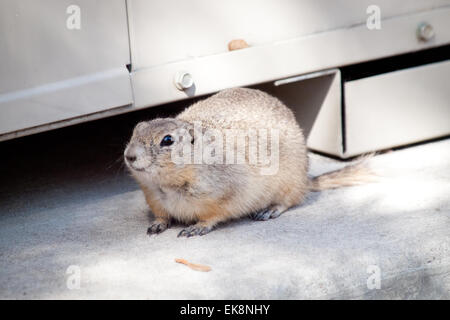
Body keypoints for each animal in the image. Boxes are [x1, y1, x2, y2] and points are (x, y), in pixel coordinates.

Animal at [124, 87, 372, 238]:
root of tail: (305, 180)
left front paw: (196, 228)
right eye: (136, 129)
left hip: (289, 183)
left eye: (167, 140)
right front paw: (157, 225)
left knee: (291, 200)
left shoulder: (226, 192)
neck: (165, 185)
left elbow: (214, 215)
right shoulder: (153, 197)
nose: (129, 156)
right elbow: (161, 214)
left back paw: (269, 210)